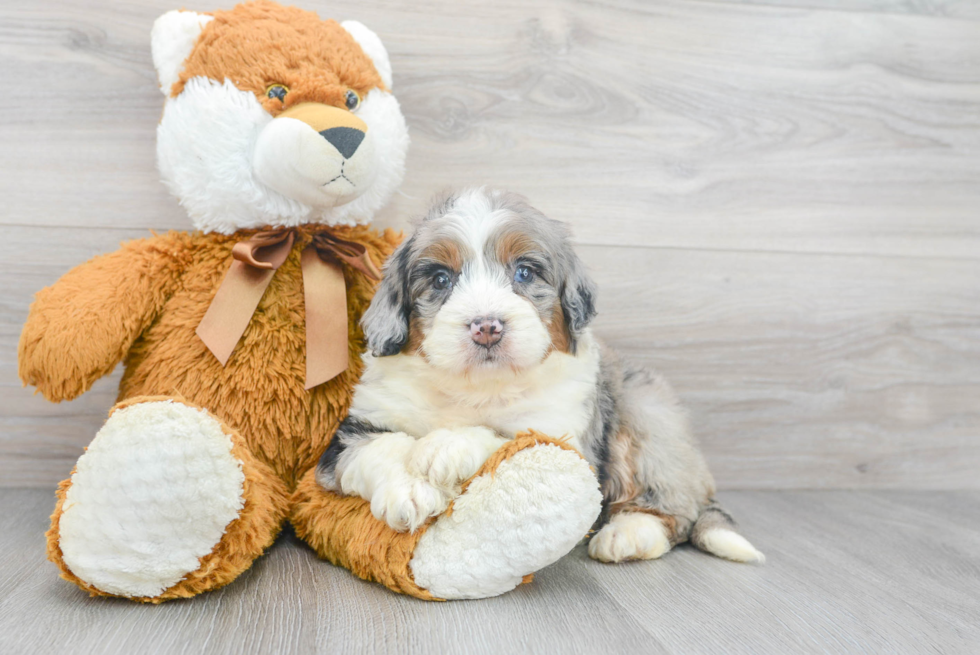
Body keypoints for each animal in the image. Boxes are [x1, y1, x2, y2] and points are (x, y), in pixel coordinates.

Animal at [318, 186, 760, 564]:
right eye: (442, 279)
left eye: (525, 273)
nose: (487, 326)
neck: (476, 386)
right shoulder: (351, 433)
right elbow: (379, 447)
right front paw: (409, 490)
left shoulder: (565, 436)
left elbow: (506, 436)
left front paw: (446, 446)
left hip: (647, 415)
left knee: (675, 508)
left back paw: (629, 534)